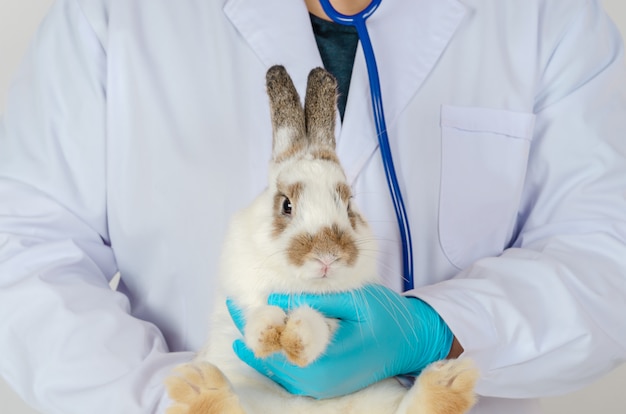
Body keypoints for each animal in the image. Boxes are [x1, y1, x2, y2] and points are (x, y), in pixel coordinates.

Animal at [163, 64, 476, 414]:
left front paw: (296, 338)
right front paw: (267, 333)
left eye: (348, 205)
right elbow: (256, 314)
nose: (327, 257)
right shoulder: (244, 293)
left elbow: (318, 326)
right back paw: (198, 384)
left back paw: (449, 379)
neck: (302, 286)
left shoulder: (338, 317)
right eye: (286, 204)